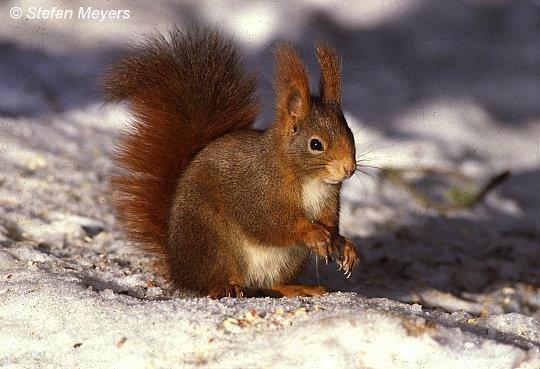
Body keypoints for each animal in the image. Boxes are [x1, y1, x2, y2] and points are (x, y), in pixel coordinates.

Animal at [104, 27, 360, 298]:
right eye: (316, 144)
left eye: (351, 134)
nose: (349, 169)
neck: (309, 179)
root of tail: (177, 267)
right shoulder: (257, 190)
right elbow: (271, 222)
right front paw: (314, 233)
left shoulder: (328, 199)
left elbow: (331, 225)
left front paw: (344, 244)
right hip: (213, 244)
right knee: (211, 281)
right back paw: (225, 286)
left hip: (287, 260)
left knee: (272, 284)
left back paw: (299, 288)